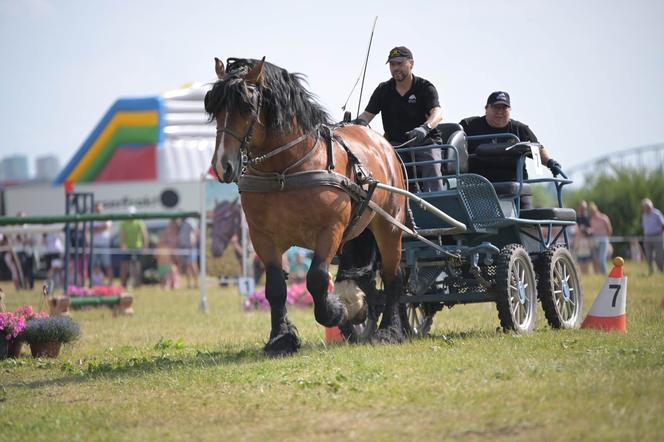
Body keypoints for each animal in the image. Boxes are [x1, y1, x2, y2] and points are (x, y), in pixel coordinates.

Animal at [205, 57, 408, 356]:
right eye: (213, 107)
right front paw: (281, 339)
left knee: (394, 274)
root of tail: (383, 144)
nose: (222, 165)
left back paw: (390, 331)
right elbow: (275, 287)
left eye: (247, 106)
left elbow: (317, 279)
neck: (286, 170)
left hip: (389, 226)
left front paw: (338, 311)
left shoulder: (330, 231)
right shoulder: (262, 237)